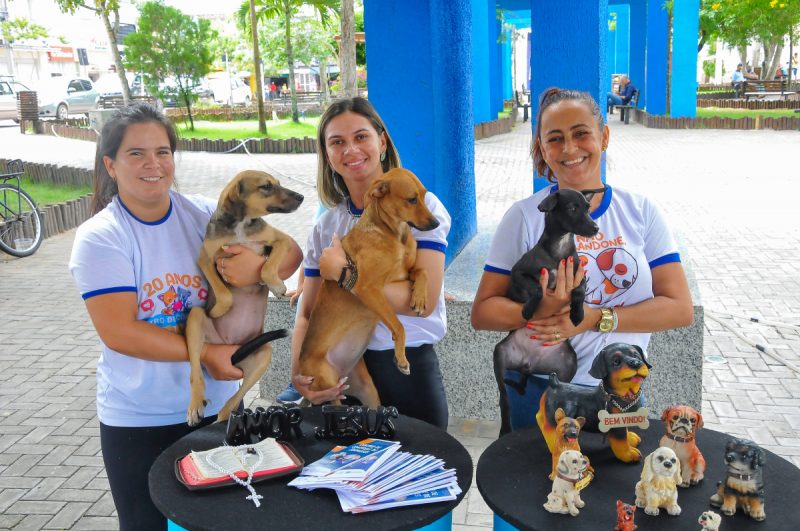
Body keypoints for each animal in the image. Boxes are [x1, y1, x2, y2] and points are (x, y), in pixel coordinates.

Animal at [184, 171, 304, 428]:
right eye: (266, 186)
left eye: (278, 183)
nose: (301, 197)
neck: (241, 225)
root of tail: (231, 349)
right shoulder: (205, 258)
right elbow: (224, 292)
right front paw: (218, 310)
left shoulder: (282, 241)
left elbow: (268, 265)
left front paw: (276, 285)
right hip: (196, 319)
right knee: (195, 372)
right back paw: (195, 404)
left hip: (263, 354)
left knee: (232, 400)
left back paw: (225, 416)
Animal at [298, 169, 440, 408]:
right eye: (412, 199)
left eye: (424, 195)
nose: (437, 224)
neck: (393, 234)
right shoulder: (368, 287)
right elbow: (399, 325)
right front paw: (401, 358)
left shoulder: (404, 274)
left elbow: (423, 271)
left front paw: (419, 297)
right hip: (329, 389)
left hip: (368, 391)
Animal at [494, 189, 600, 434]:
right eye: (572, 208)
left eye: (588, 207)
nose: (595, 228)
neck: (559, 249)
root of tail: (528, 365)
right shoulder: (519, 273)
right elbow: (538, 290)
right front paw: (529, 309)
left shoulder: (580, 277)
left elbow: (579, 292)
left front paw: (577, 314)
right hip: (500, 356)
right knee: (505, 399)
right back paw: (506, 427)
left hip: (568, 364)